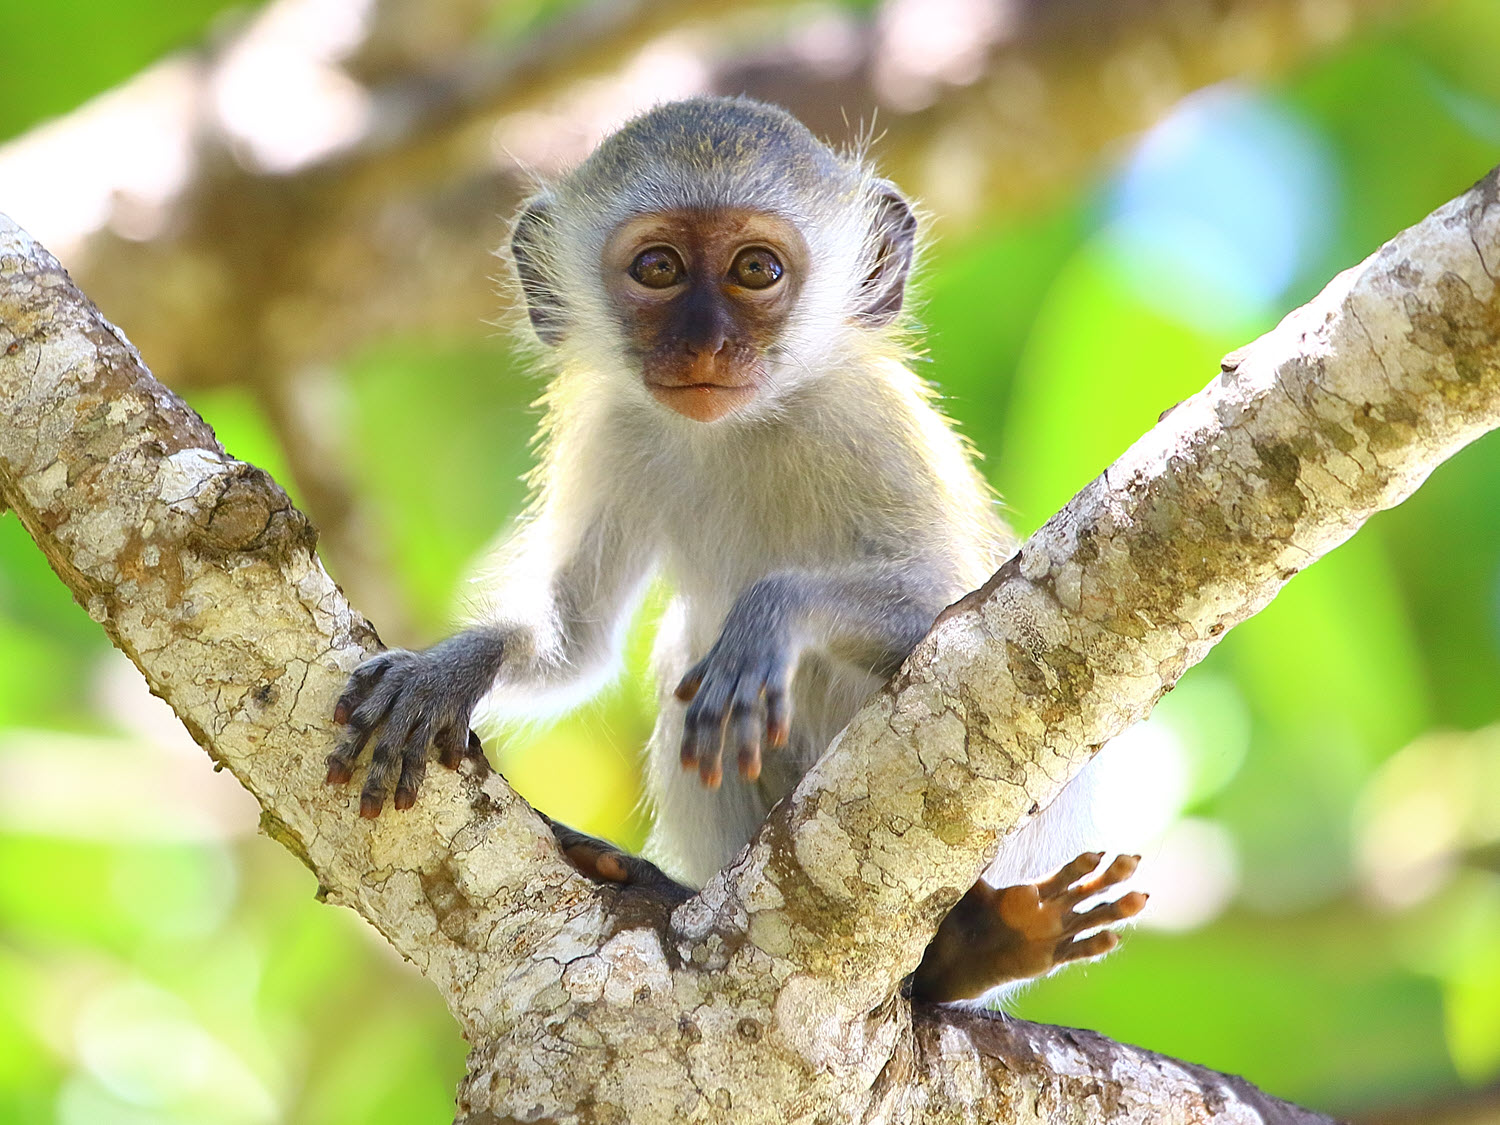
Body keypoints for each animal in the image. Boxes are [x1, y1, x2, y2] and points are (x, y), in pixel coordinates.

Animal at [331, 96, 1146, 1002]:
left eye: (756, 270)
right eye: (658, 268)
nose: (704, 344)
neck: (745, 428)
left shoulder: (869, 424)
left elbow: (956, 616)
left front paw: (773, 616)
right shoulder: (618, 428)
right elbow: (574, 638)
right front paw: (448, 670)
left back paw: (975, 948)